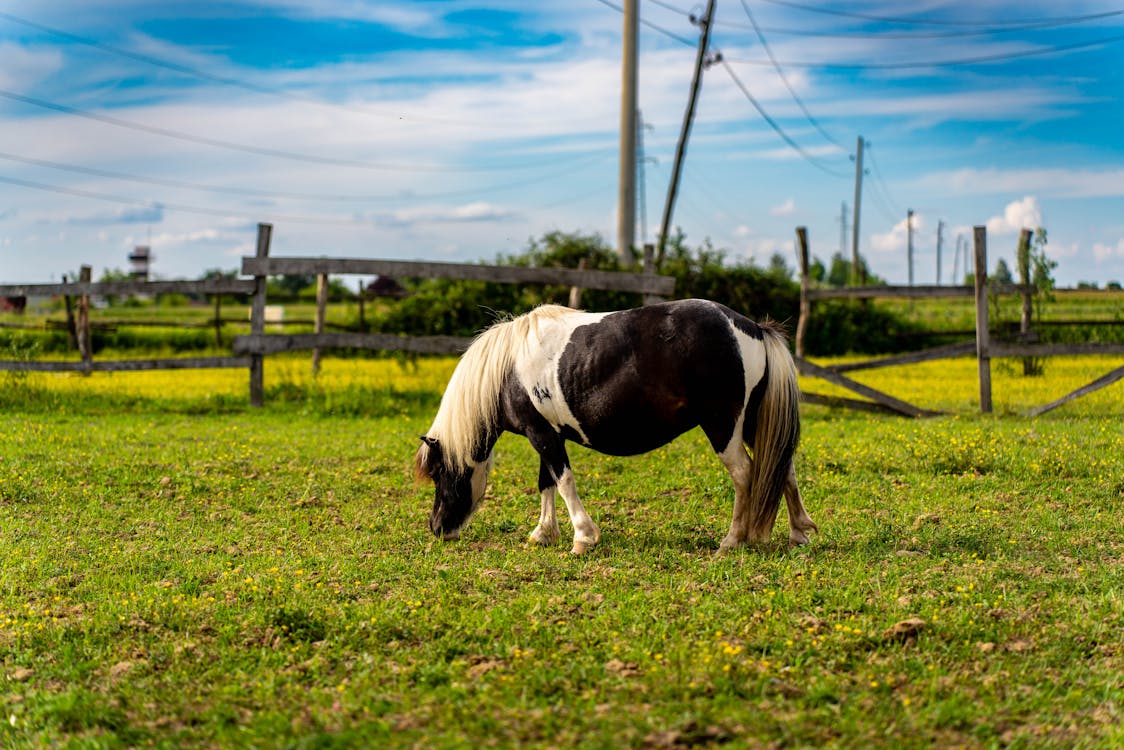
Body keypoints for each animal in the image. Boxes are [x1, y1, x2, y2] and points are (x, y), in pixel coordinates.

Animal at [413, 296, 818, 550]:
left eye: (439, 473)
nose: (437, 528)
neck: (507, 370)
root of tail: (750, 326)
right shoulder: (546, 435)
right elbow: (547, 483)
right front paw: (543, 533)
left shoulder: (542, 434)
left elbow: (564, 482)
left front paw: (583, 537)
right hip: (752, 423)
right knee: (784, 467)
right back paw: (799, 533)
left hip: (723, 427)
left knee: (746, 475)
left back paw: (732, 541)